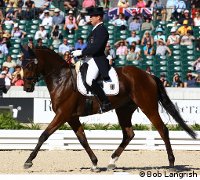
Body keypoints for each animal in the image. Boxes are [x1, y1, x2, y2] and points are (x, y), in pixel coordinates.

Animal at [22, 46, 196, 170]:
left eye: (29, 64)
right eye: (21, 65)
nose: (27, 88)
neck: (62, 79)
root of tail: (148, 75)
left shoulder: (63, 114)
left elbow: (44, 135)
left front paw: (28, 161)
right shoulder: (71, 117)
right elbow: (82, 139)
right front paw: (94, 162)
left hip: (148, 107)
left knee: (162, 130)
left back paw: (171, 163)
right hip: (124, 110)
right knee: (129, 134)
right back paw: (112, 161)